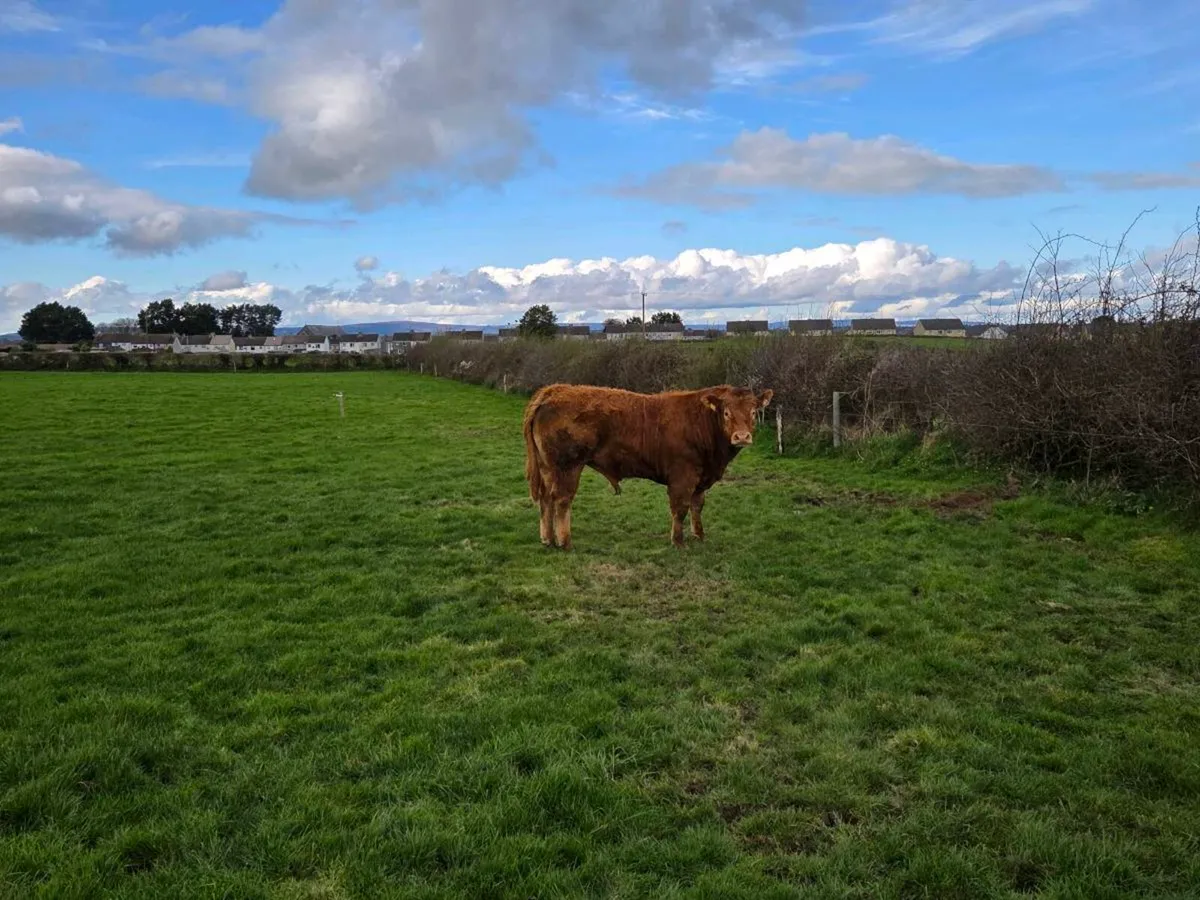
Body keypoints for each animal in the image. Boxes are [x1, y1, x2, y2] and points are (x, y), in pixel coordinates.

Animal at [523, 383, 774, 549]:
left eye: (754, 412)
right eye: (727, 412)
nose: (742, 436)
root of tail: (554, 390)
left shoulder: (700, 479)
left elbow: (697, 506)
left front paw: (699, 536)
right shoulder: (682, 477)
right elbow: (680, 508)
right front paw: (678, 542)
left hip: (548, 467)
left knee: (546, 499)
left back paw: (547, 538)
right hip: (568, 466)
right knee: (562, 500)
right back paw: (564, 542)